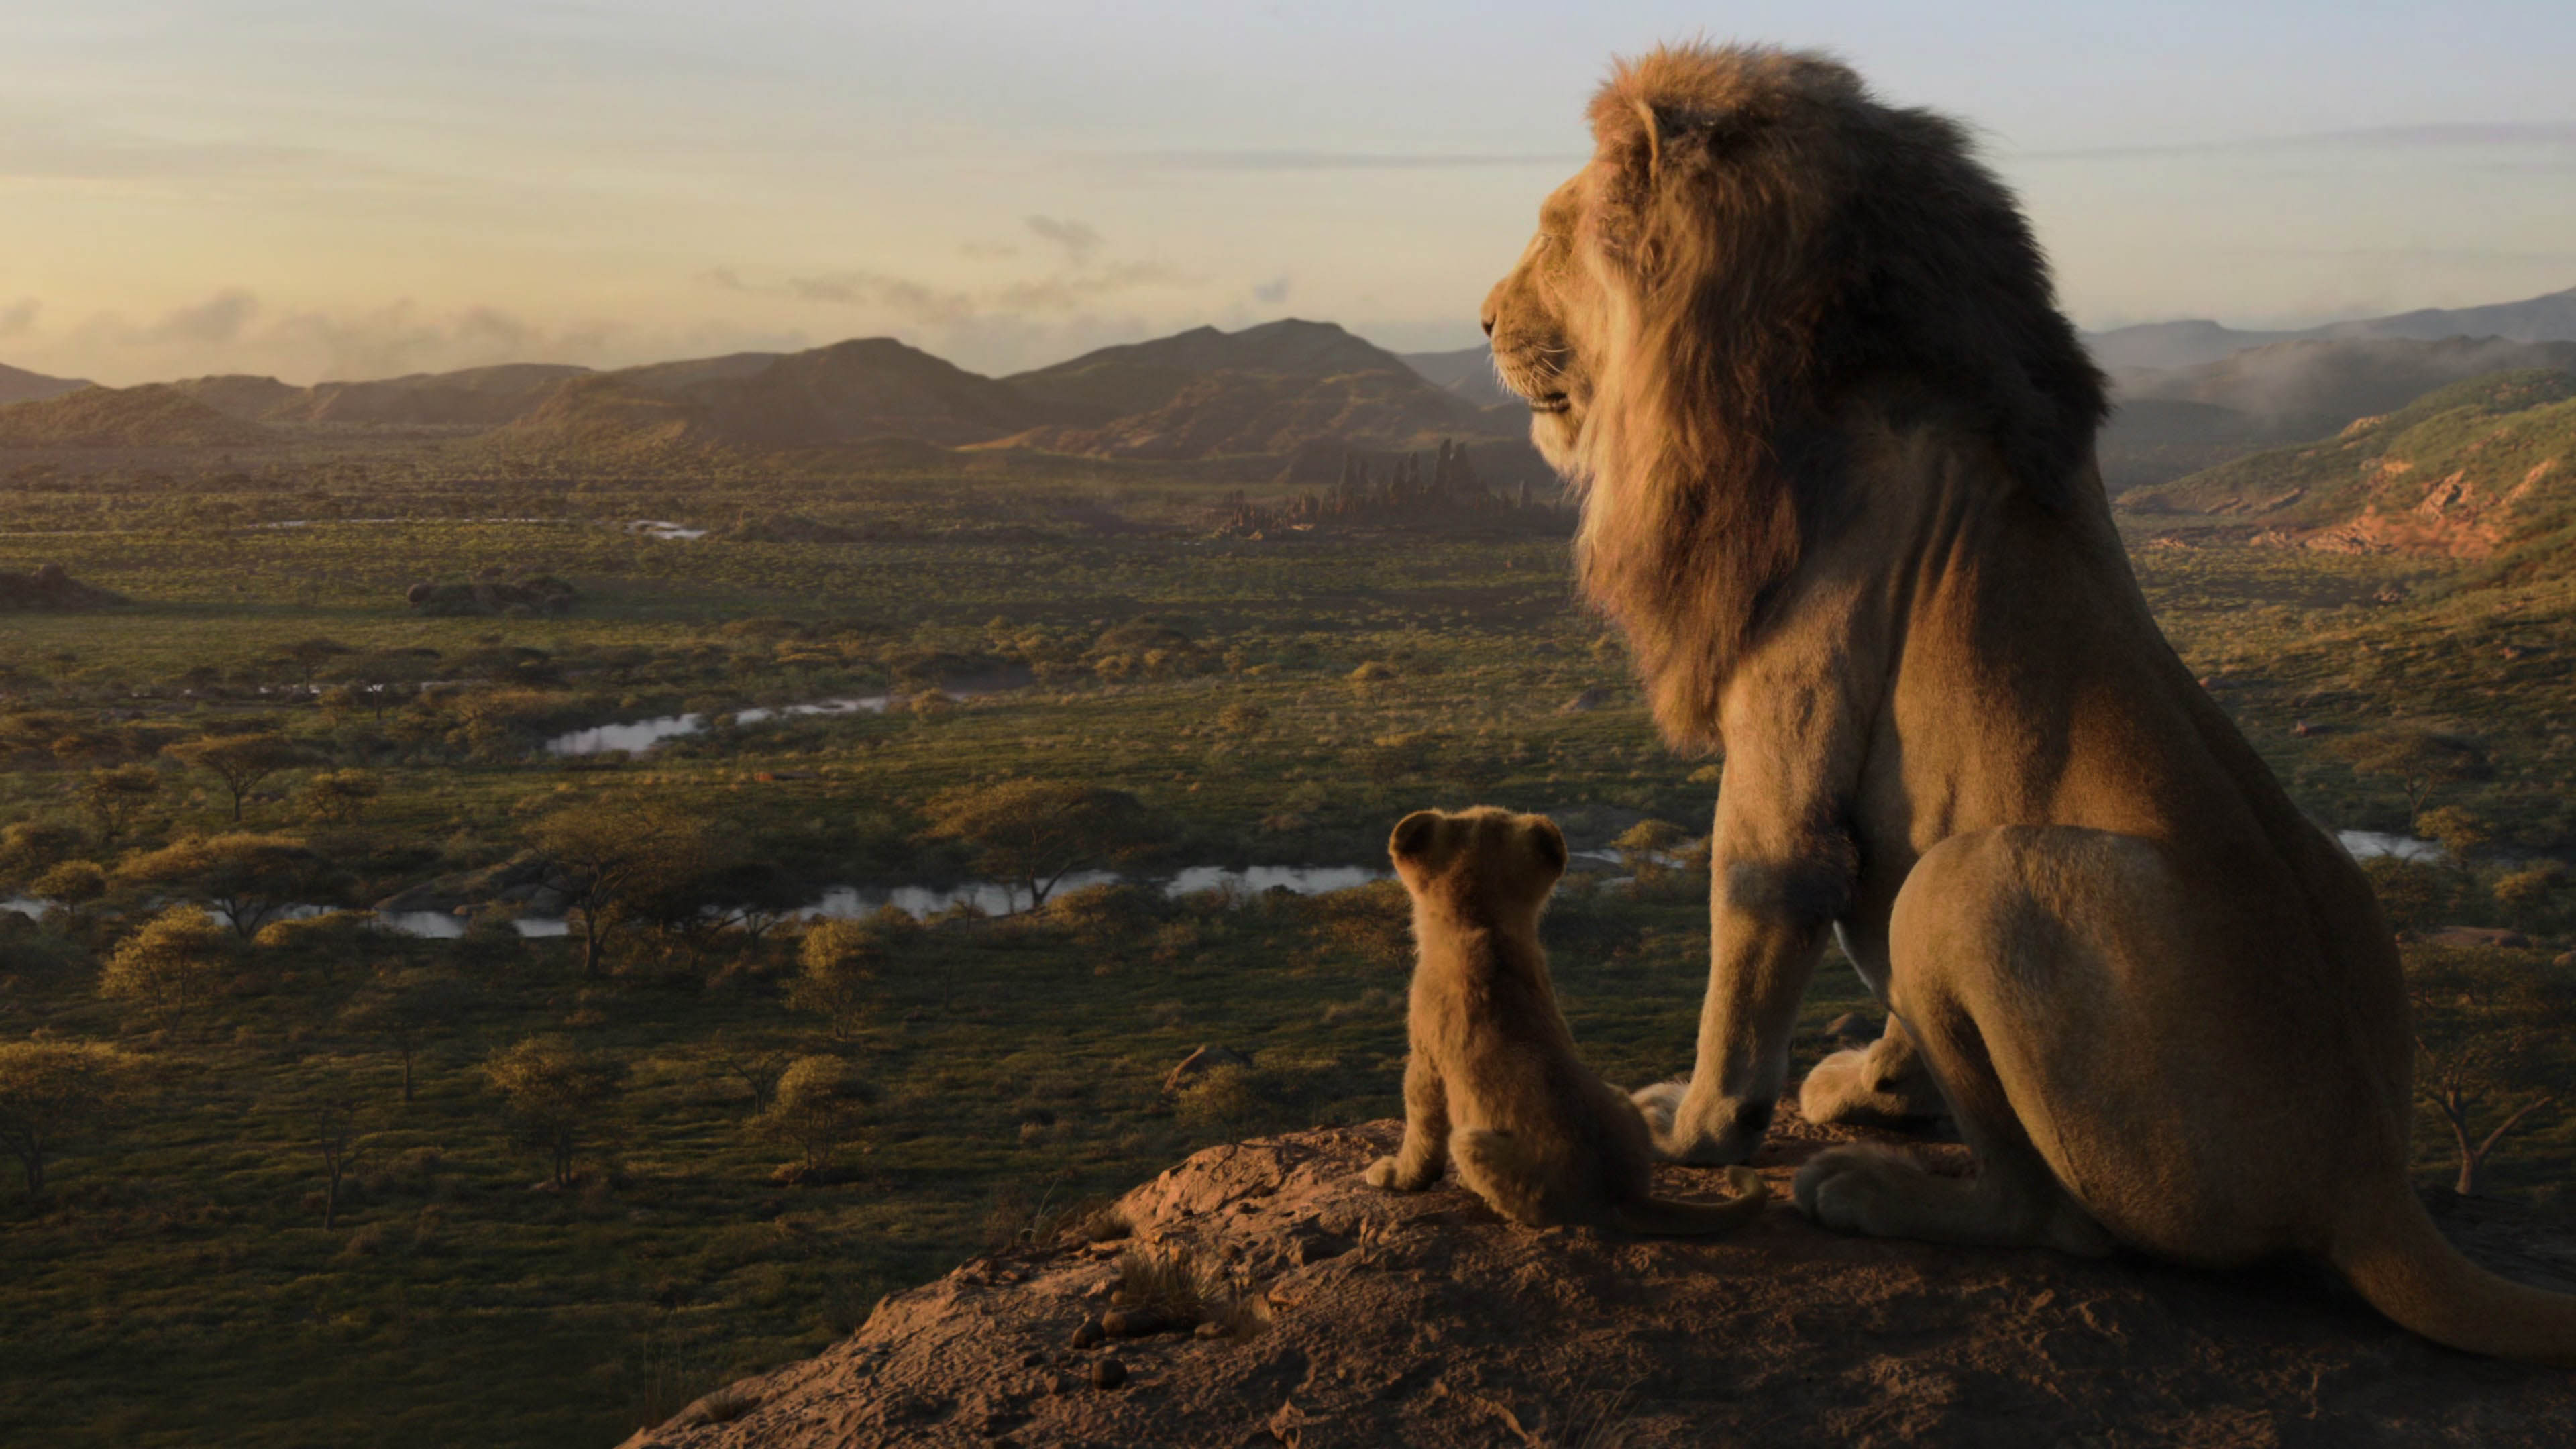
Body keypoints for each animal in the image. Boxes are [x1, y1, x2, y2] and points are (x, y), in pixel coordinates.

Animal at [1483, 39, 2576, 1361]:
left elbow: (1761, 894)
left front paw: (1693, 1123)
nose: (1480, 319)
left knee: (2057, 1217)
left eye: (1551, 235)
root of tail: (2368, 1180)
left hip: (1980, 887)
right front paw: (1875, 1088)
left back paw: (1874, 1192)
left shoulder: (1797, 691)